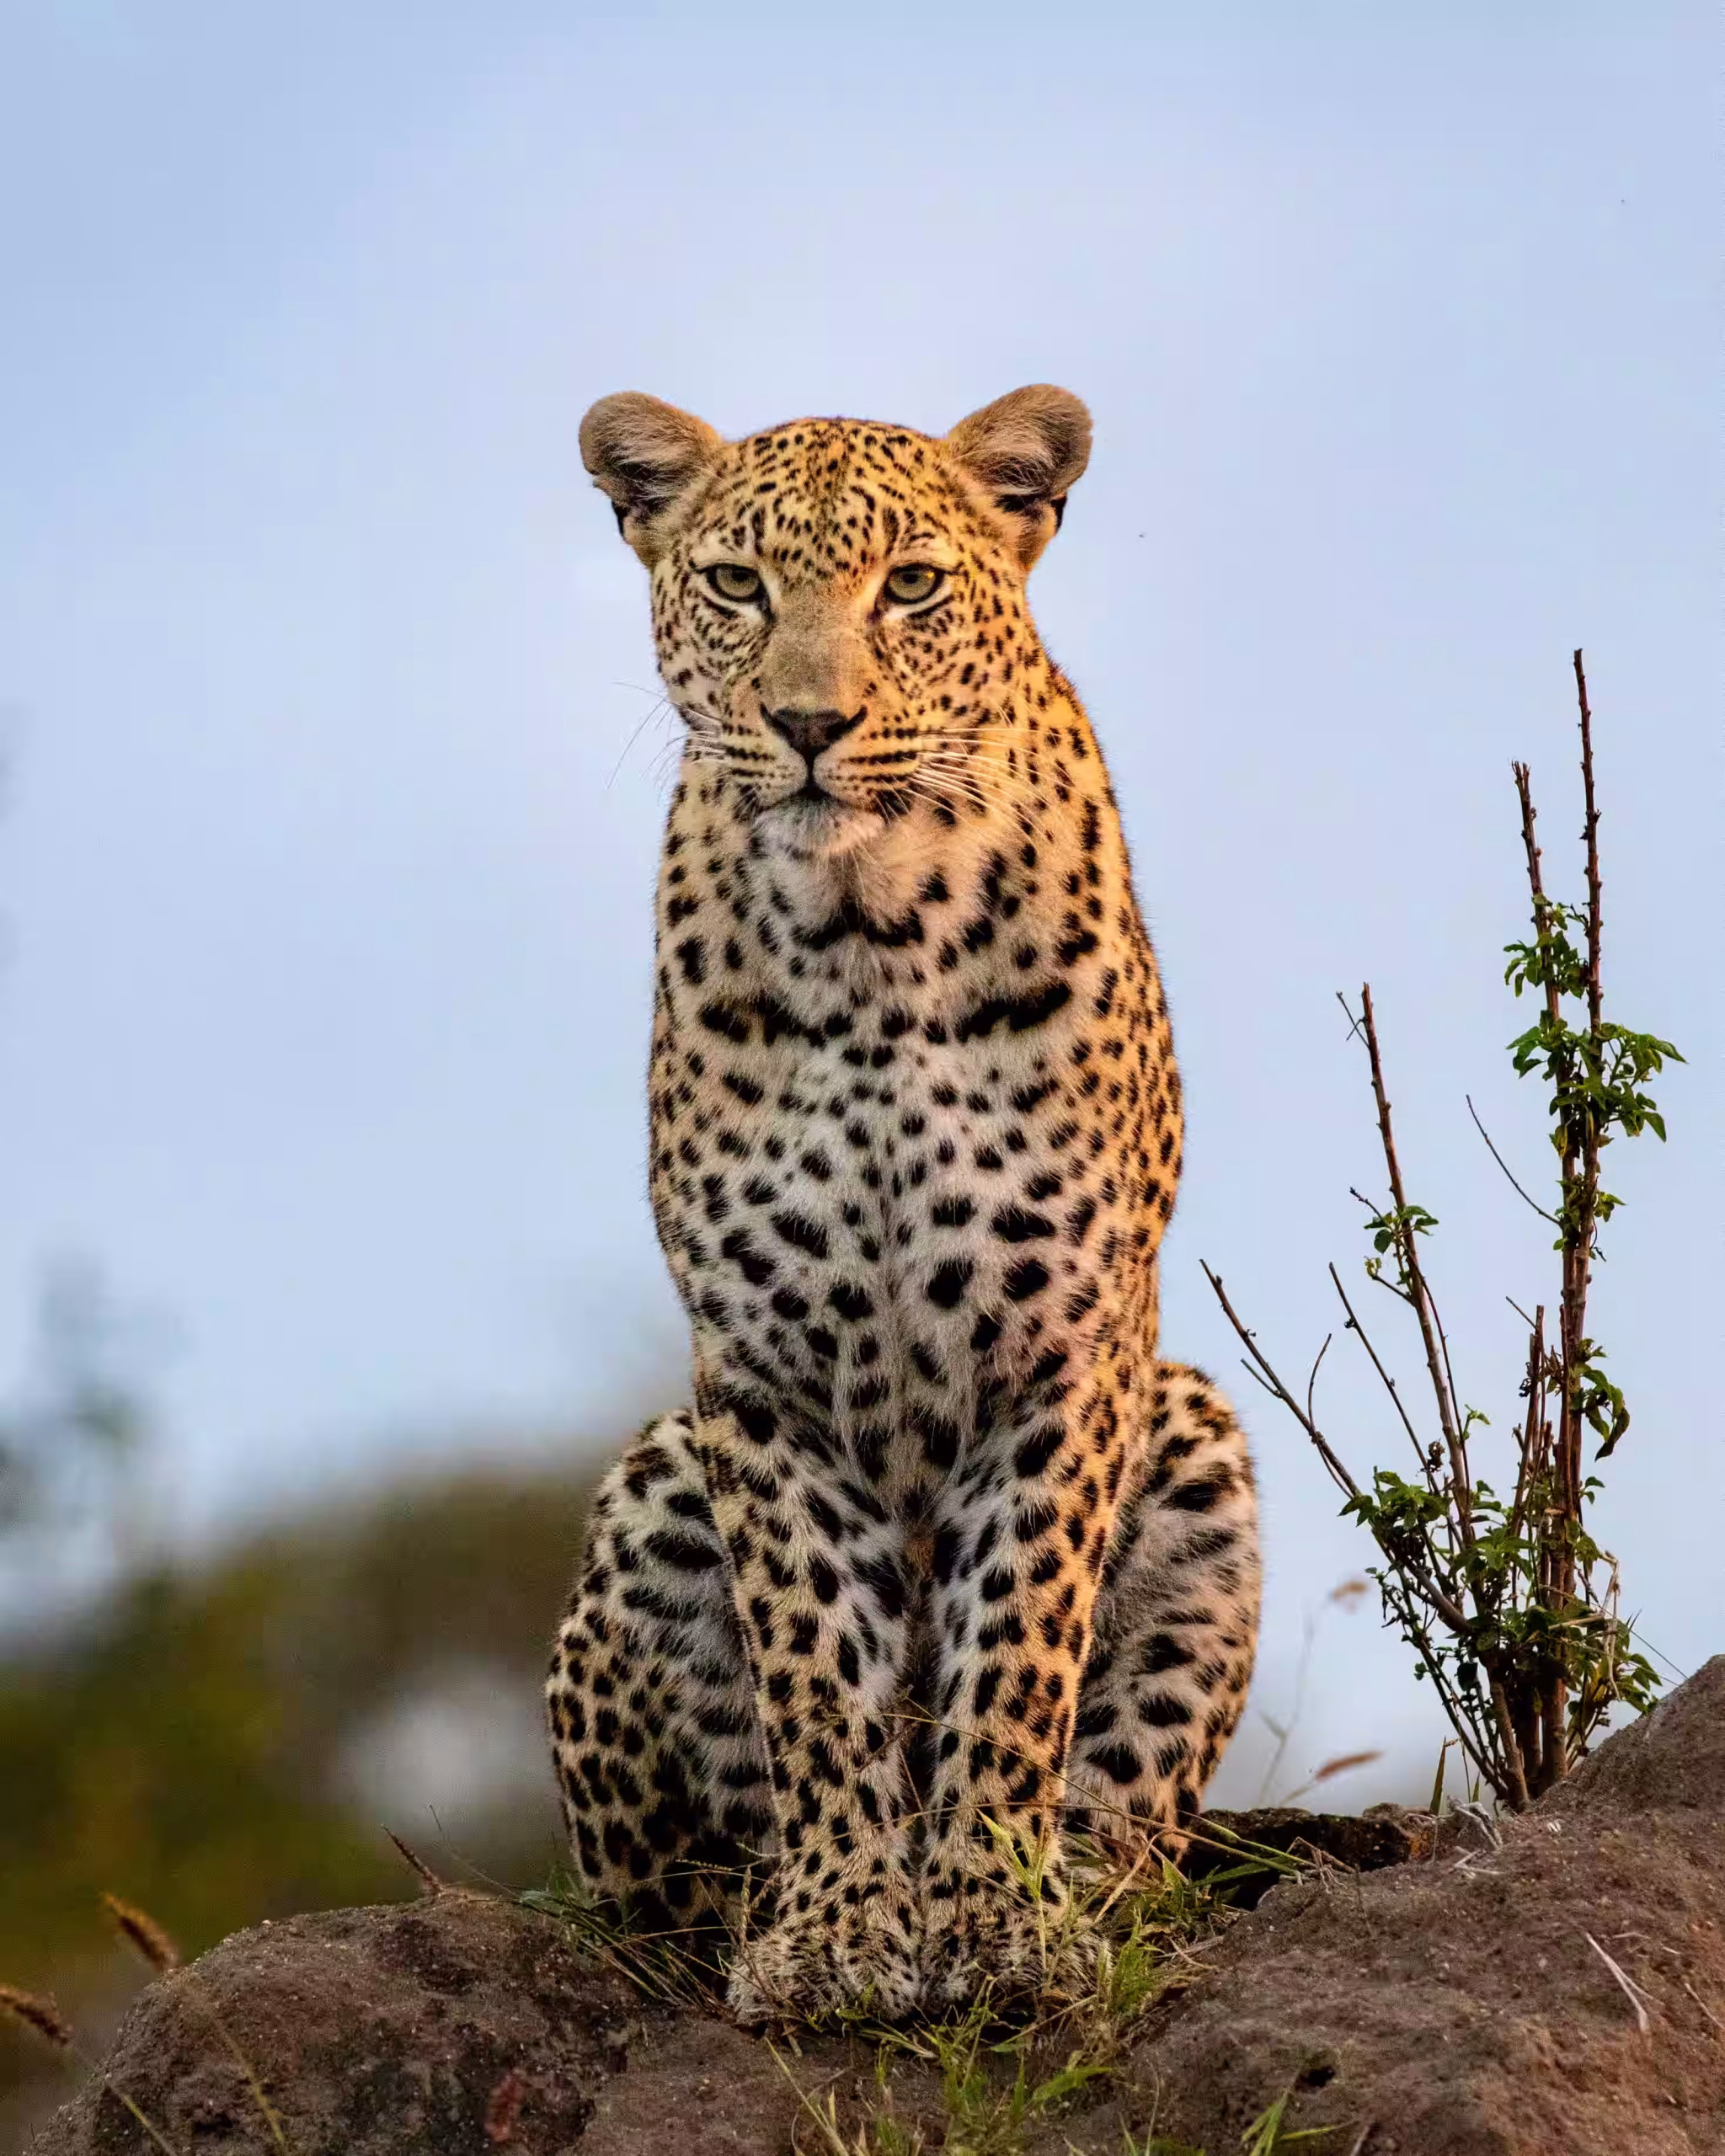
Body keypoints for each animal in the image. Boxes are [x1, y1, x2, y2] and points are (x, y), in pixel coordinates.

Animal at [544, 384, 1260, 2026]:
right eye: (737, 585)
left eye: (913, 587)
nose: (810, 725)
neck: (867, 935)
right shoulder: (756, 1369)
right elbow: (815, 1657)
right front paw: (835, 1932)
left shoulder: (1067, 1343)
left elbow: (1018, 1646)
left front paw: (994, 1919)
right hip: (652, 1484)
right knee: (664, 1892)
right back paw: (759, 1912)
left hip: (1195, 1439)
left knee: (1135, 1831)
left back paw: (1078, 1891)